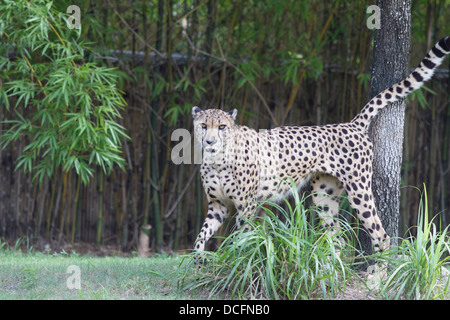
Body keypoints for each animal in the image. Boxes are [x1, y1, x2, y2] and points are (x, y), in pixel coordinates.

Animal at [191, 35, 450, 252]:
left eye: (222, 127)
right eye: (203, 125)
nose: (210, 141)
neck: (217, 159)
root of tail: (352, 123)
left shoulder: (246, 205)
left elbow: (240, 236)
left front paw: (234, 260)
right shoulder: (217, 204)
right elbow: (201, 236)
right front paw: (198, 261)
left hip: (359, 189)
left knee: (380, 234)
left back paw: (377, 275)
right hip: (323, 195)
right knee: (337, 235)